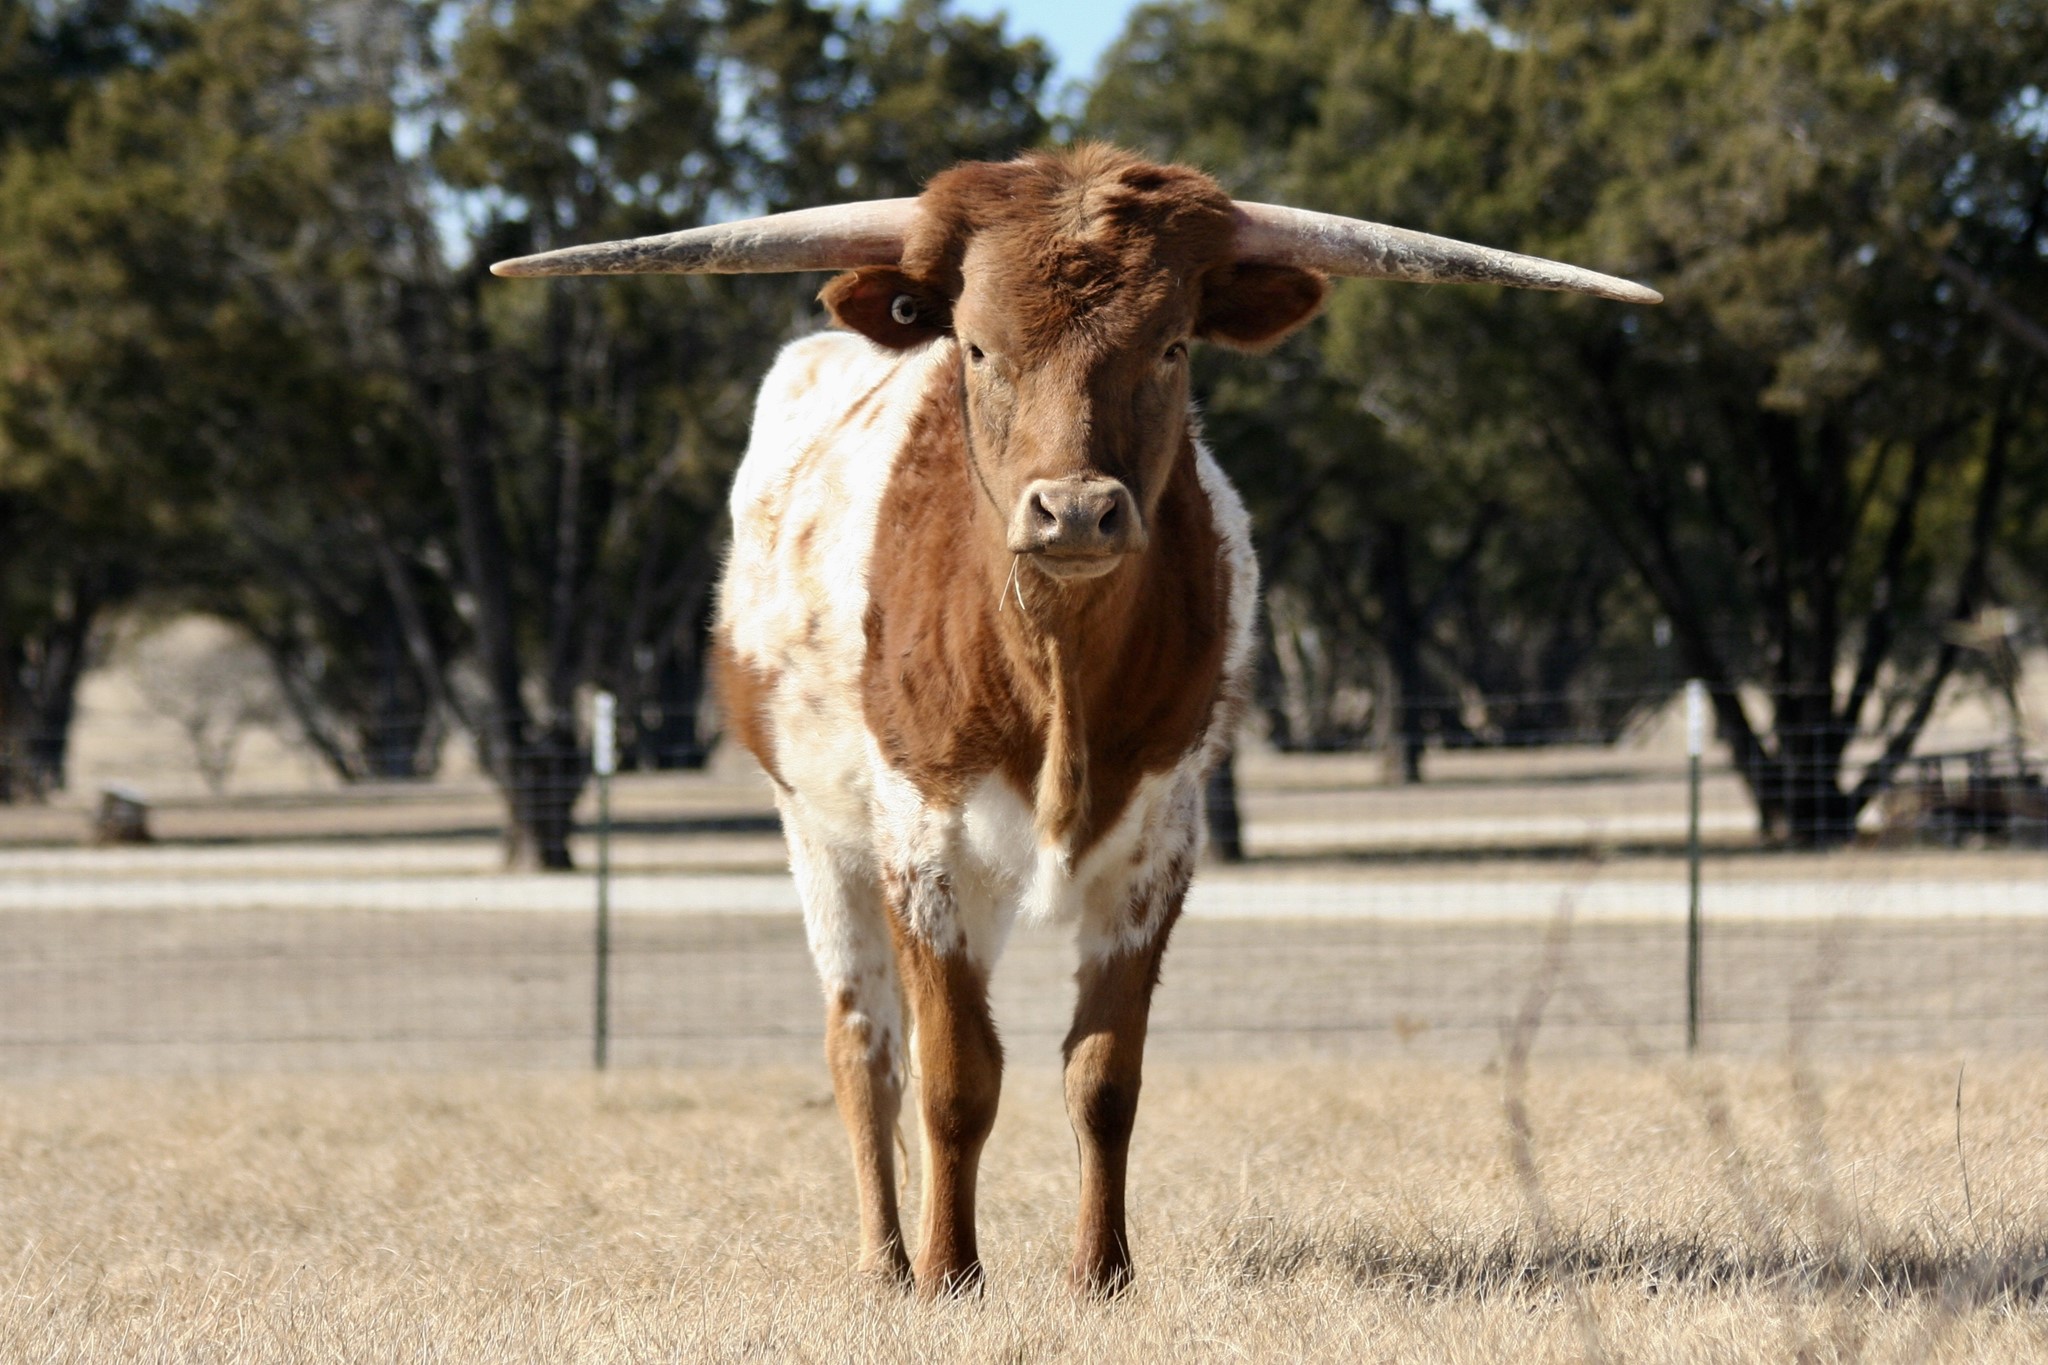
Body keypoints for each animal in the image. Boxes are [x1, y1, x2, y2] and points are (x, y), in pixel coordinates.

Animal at [492, 145, 1657, 1297]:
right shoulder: (920, 842)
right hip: (818, 835)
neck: (1050, 665)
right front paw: (949, 1277)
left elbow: (1101, 1078)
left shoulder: (1157, 848)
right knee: (865, 1048)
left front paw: (1101, 1274)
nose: (1076, 511)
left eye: (1173, 344)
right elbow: (954, 1077)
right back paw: (885, 1261)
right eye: (974, 344)